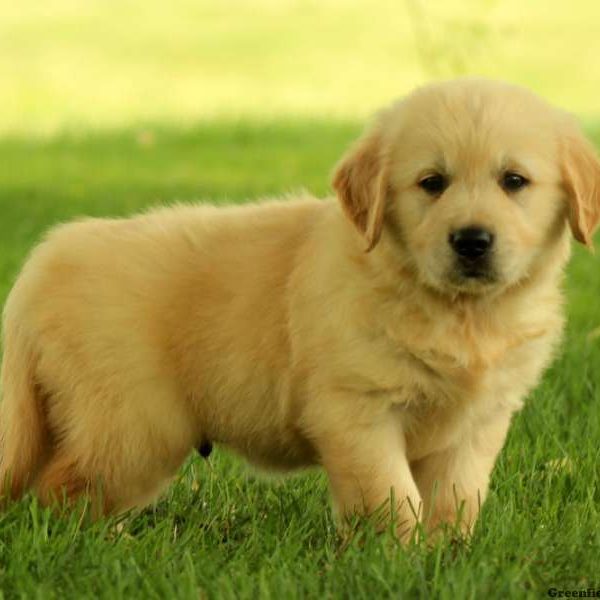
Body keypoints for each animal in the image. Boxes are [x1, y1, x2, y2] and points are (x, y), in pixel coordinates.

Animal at [1, 77, 600, 540]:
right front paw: (397, 560)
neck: (458, 312)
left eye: (514, 181)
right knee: (61, 489)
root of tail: (45, 261)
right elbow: (389, 494)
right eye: (432, 183)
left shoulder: (478, 421)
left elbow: (457, 497)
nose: (472, 241)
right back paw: (104, 544)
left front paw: (447, 558)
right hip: (134, 424)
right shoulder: (357, 408)